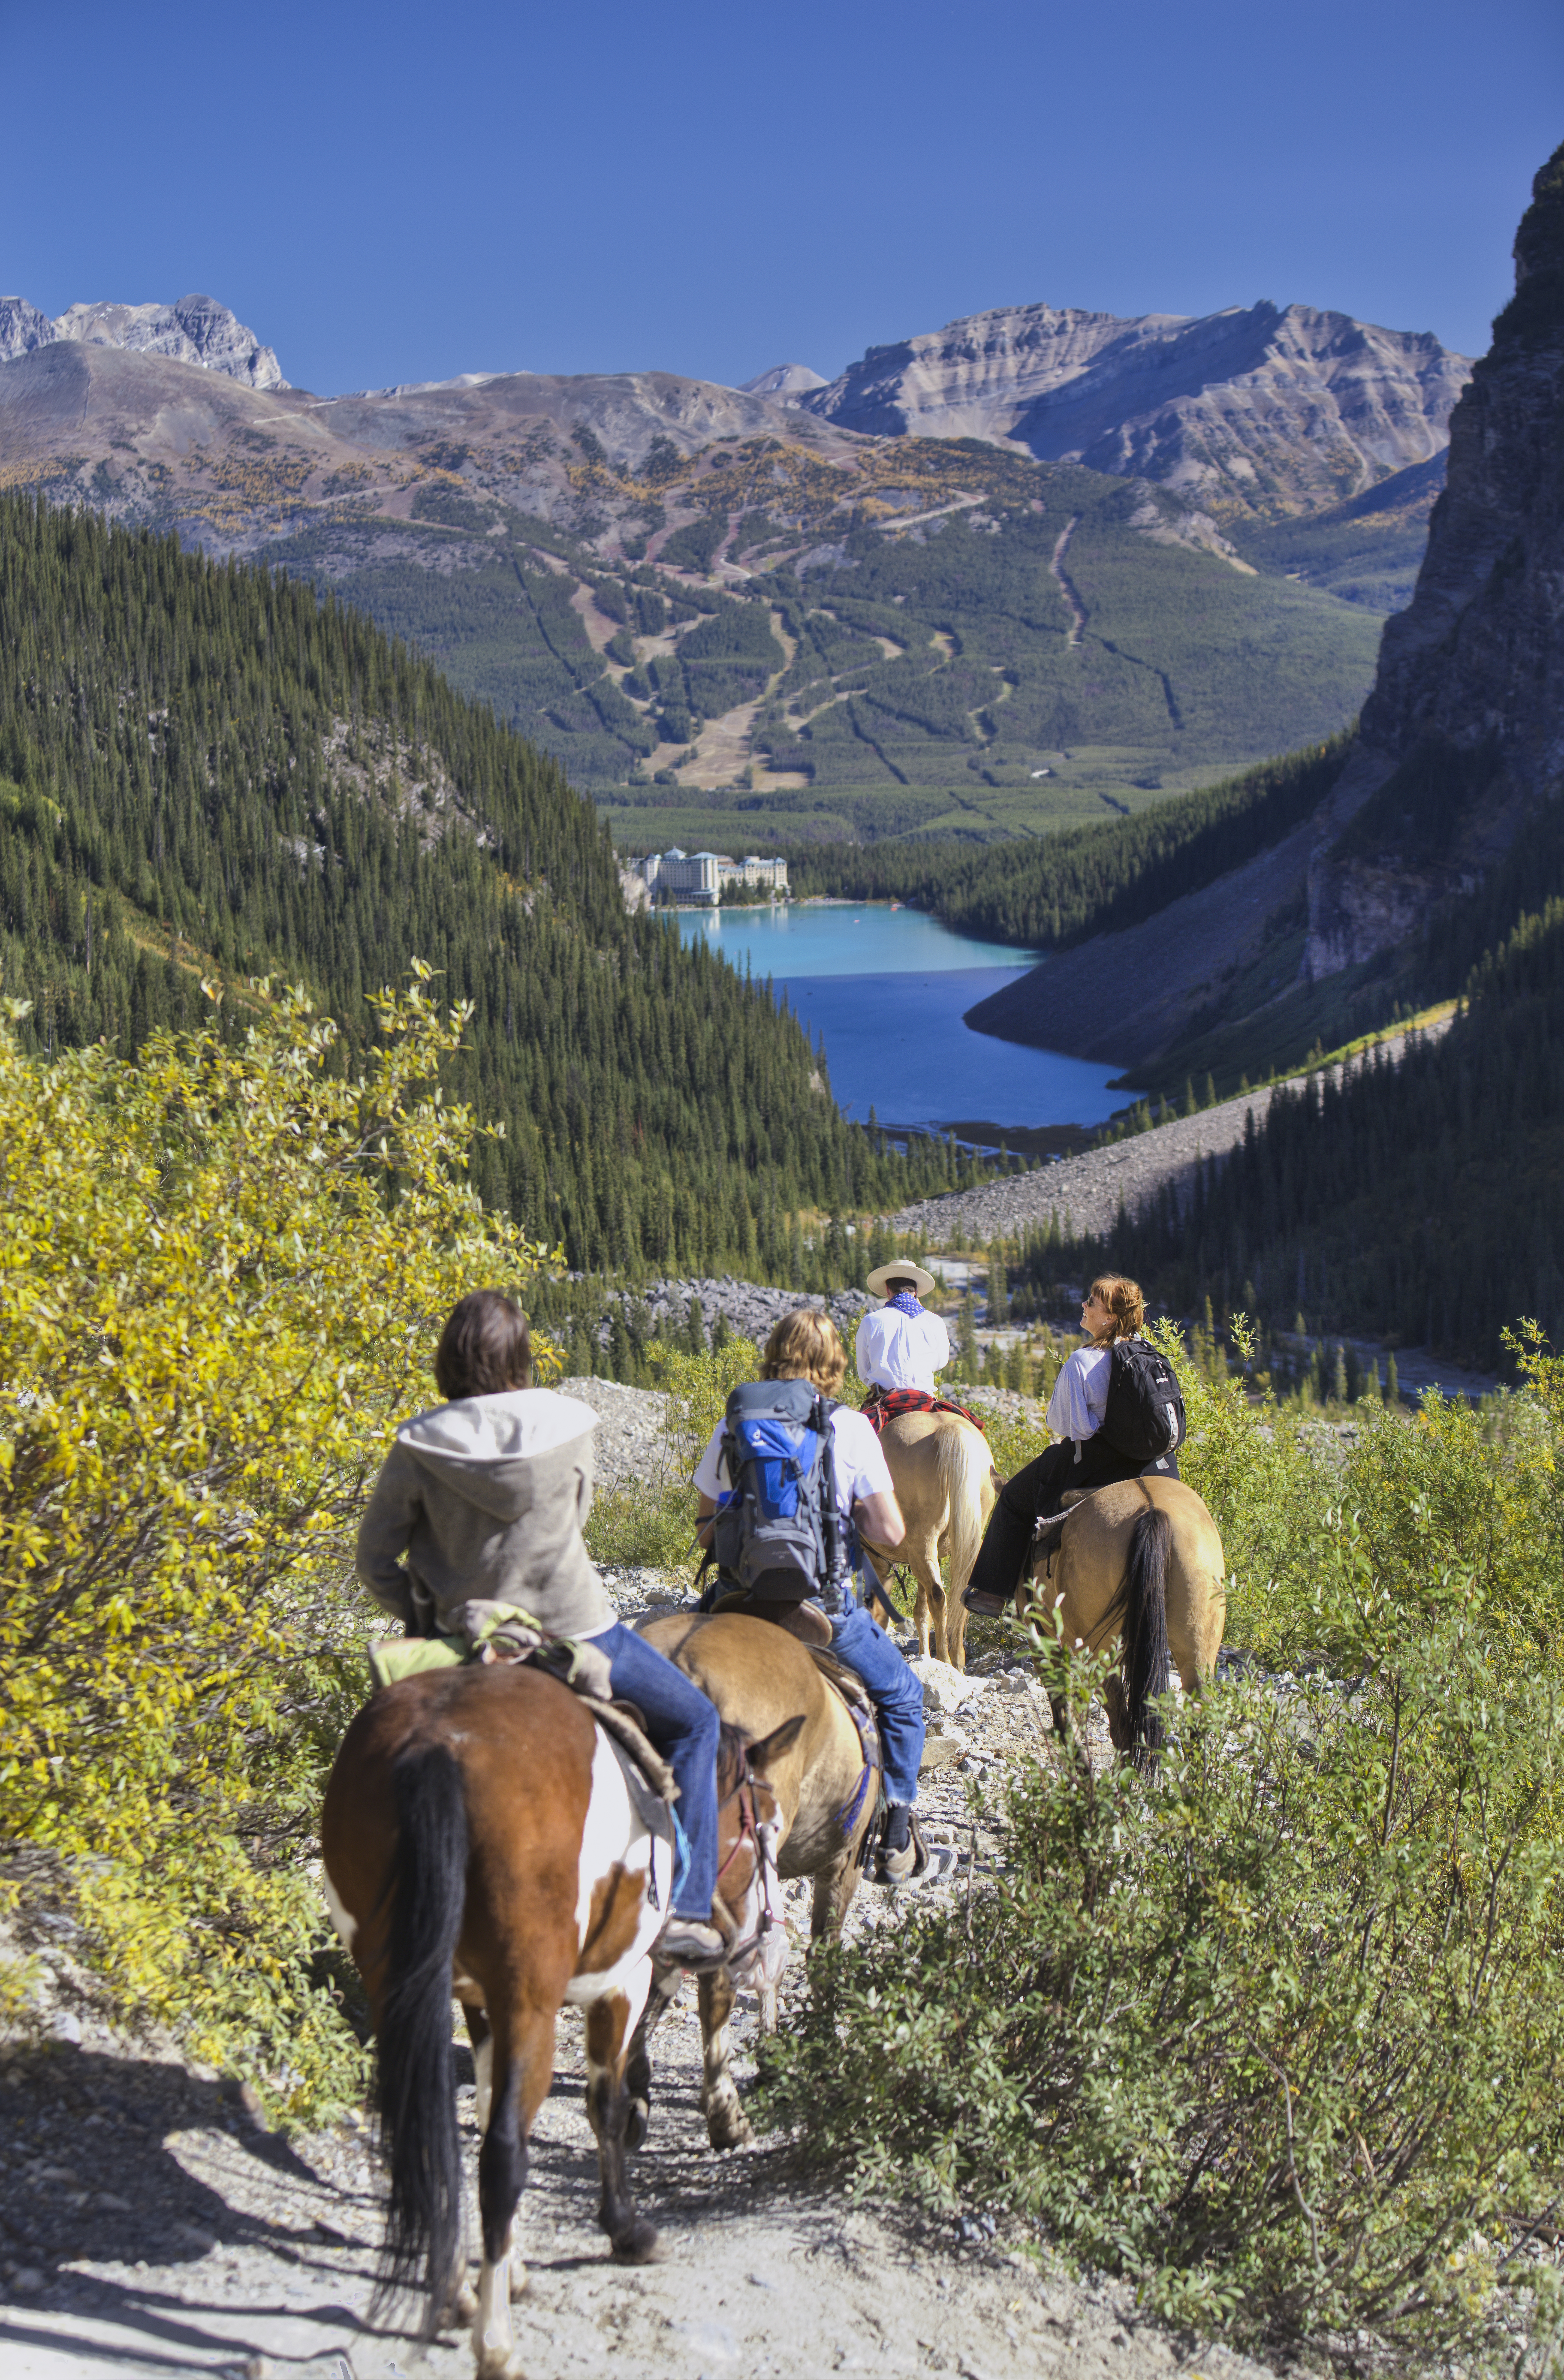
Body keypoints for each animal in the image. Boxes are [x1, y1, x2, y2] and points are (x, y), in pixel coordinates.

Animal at [321, 1656, 800, 2380]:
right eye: (766, 1825)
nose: (756, 1937)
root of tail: (437, 1744)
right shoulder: (619, 1983)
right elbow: (603, 2104)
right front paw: (626, 2228)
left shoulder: (475, 1999)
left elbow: (480, 2106)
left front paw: (511, 2267)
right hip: (532, 1997)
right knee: (501, 2156)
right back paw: (495, 2342)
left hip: (395, 1980)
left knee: (429, 2134)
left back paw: (457, 2294)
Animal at [624, 1618, 890, 2161]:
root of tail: (680, 1660)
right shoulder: (839, 1869)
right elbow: (816, 1955)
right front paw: (811, 2052)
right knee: (715, 1981)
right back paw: (725, 2117)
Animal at [862, 1409, 995, 1675]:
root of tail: (951, 1430)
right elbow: (920, 1611)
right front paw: (924, 1655)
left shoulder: (875, 1559)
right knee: (955, 1595)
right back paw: (957, 1661)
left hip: (921, 1543)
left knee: (938, 1595)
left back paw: (944, 1660)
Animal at [1019, 1476, 1228, 1780]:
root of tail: (1152, 1511)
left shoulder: (1044, 1645)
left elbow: (1064, 1717)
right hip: (1198, 1651)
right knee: (1195, 1726)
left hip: (1100, 1655)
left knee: (1121, 1725)